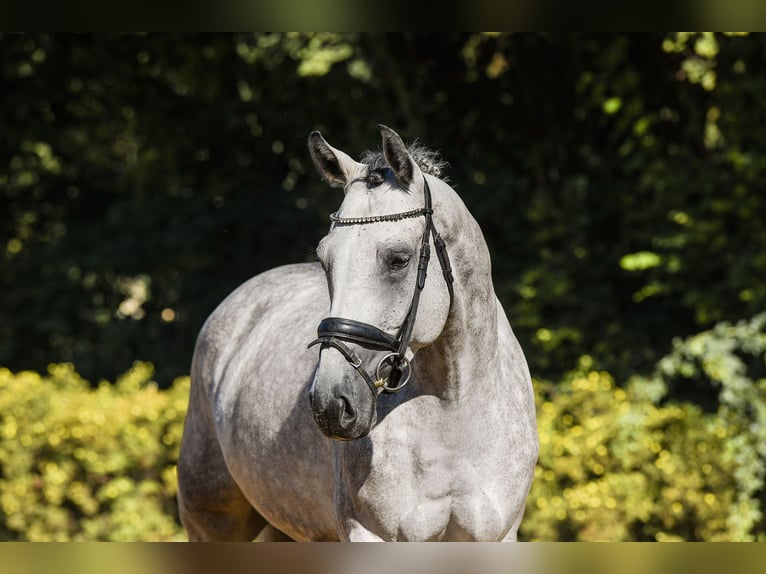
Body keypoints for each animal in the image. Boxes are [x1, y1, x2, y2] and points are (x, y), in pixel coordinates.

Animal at [179, 126, 540, 544]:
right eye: (324, 260)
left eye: (398, 260)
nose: (331, 405)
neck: (454, 411)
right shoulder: (369, 534)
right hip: (213, 519)